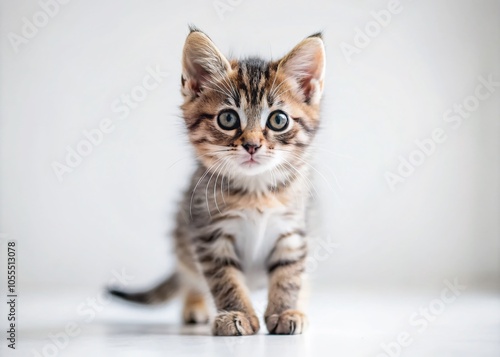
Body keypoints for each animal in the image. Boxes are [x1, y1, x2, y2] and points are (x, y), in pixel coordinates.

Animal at [109, 25, 326, 334]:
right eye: (228, 119)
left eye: (278, 120)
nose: (251, 145)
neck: (256, 192)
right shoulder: (208, 233)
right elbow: (225, 280)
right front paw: (237, 314)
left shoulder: (293, 231)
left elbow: (289, 275)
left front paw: (285, 311)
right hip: (183, 234)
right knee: (190, 276)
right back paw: (194, 306)